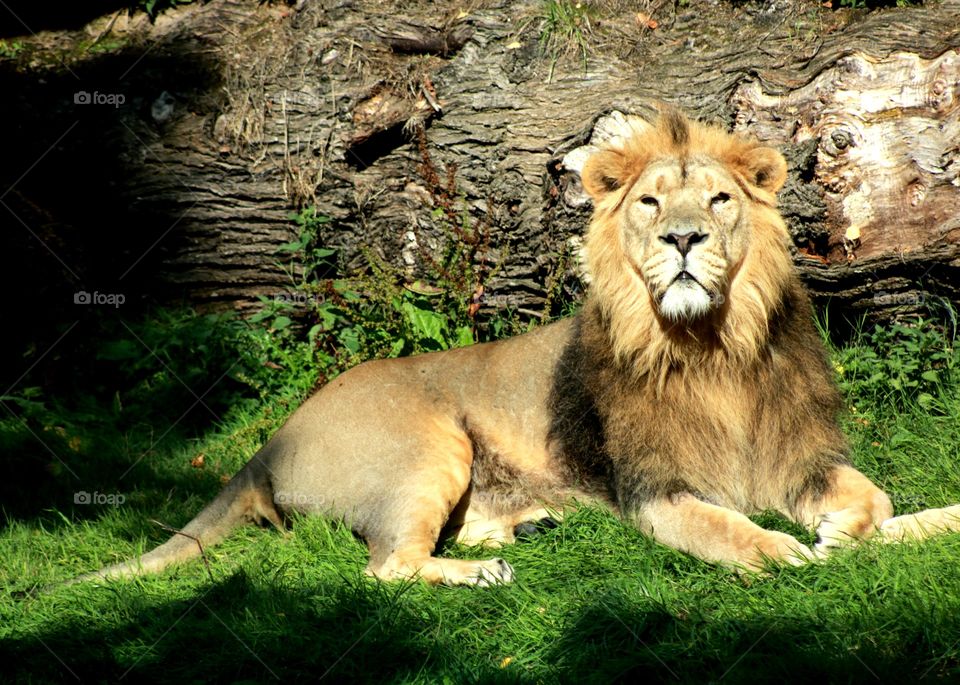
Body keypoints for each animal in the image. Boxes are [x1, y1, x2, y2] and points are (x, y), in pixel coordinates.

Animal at [66, 107, 960, 588]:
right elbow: (725, 528)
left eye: (718, 199)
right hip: (429, 448)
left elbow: (877, 500)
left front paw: (863, 530)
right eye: (649, 203)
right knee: (385, 568)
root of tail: (270, 440)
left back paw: (519, 532)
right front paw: (785, 550)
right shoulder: (653, 490)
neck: (710, 348)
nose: (683, 237)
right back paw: (484, 570)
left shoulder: (801, 459)